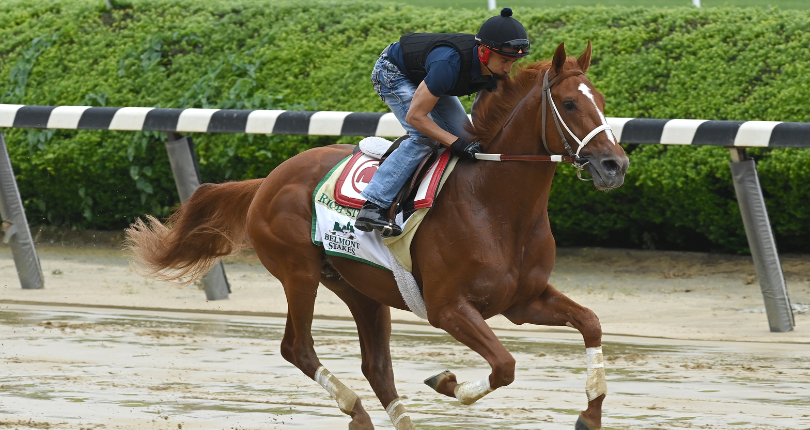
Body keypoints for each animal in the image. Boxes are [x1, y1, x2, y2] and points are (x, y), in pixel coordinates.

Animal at [129, 42, 628, 430]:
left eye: (602, 99)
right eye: (569, 104)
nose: (614, 165)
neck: (497, 205)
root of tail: (268, 179)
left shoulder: (522, 301)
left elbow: (591, 322)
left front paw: (591, 415)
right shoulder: (448, 308)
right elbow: (504, 366)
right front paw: (446, 382)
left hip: (360, 288)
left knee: (377, 367)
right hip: (299, 273)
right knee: (298, 348)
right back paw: (356, 411)